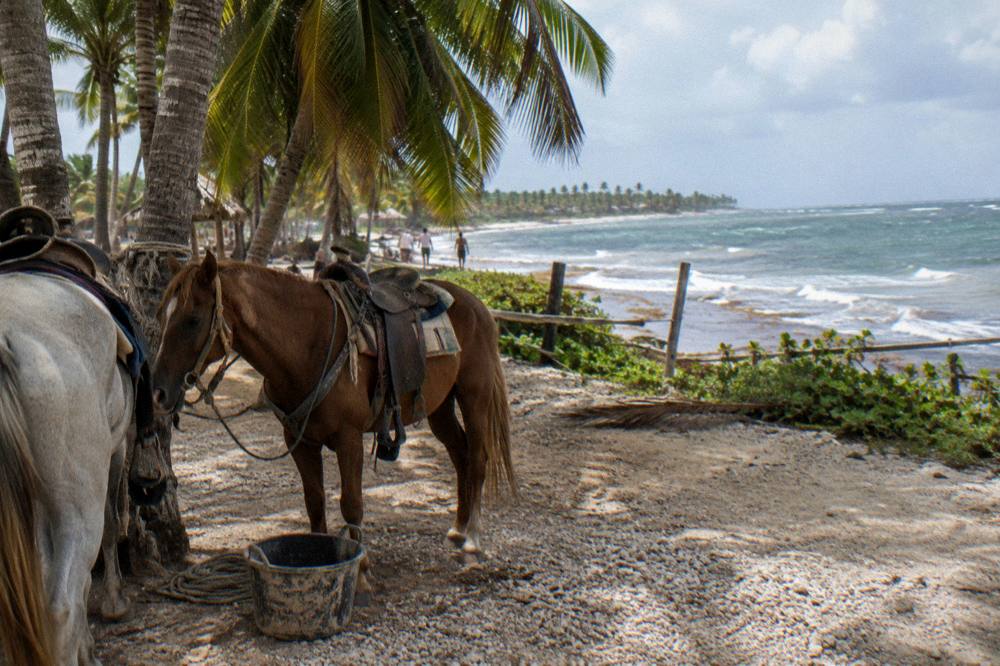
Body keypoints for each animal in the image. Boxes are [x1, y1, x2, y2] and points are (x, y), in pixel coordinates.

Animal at [151, 252, 515, 591]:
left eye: (192, 320)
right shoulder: (298, 440)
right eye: (161, 316)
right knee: (460, 456)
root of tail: (478, 306)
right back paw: (458, 527)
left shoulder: (348, 438)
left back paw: (473, 537)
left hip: (474, 396)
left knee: (477, 459)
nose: (158, 392)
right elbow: (314, 502)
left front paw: (362, 569)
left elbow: (351, 504)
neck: (307, 343)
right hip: (440, 407)